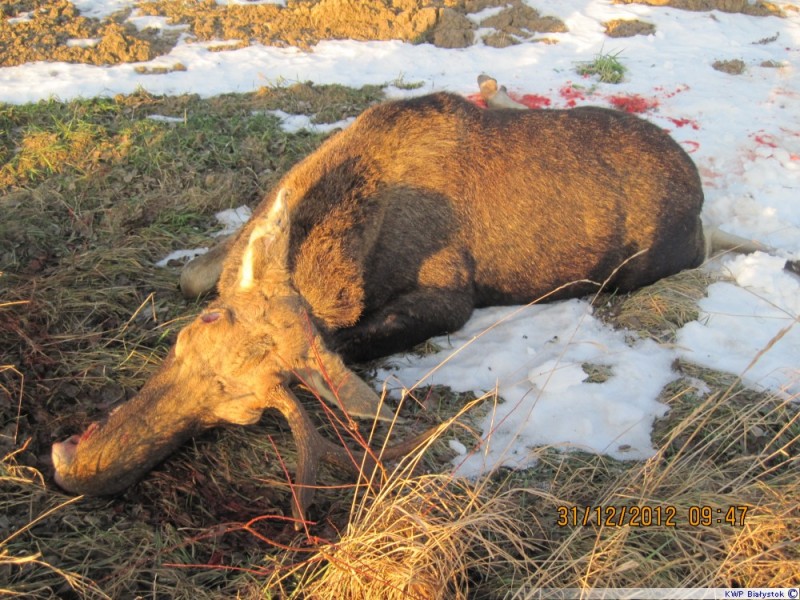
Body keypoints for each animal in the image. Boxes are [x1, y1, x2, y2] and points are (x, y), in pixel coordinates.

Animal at [53, 84, 708, 520]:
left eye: (241, 417)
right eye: (192, 332)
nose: (79, 470)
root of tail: (699, 189)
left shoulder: (452, 295)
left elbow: (360, 338)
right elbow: (191, 273)